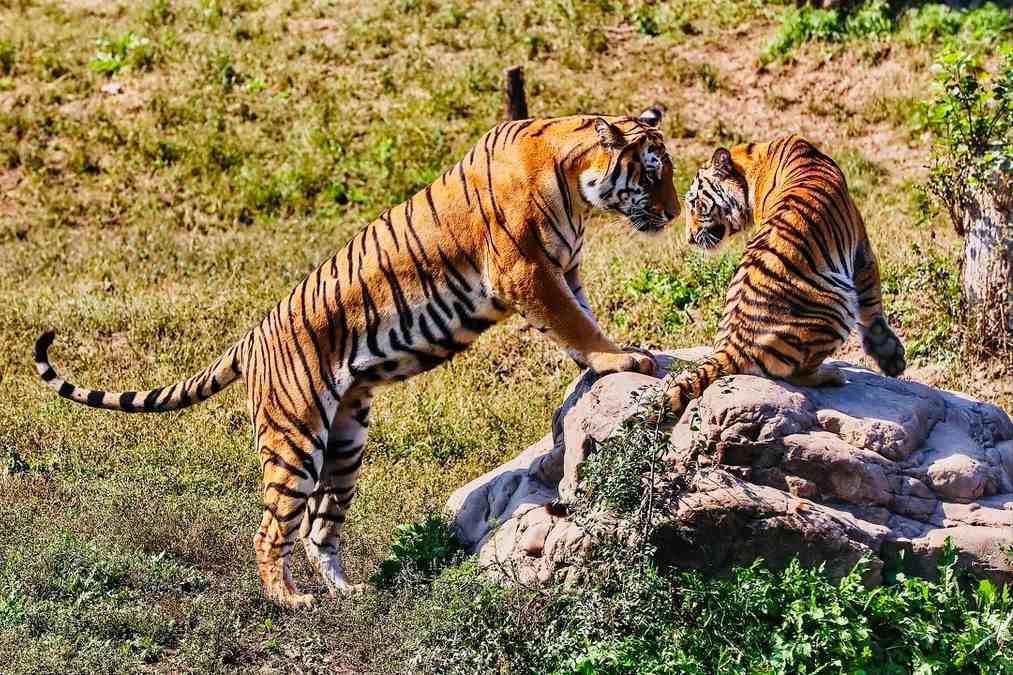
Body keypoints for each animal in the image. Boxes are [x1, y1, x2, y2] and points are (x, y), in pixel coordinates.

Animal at [31, 107, 680, 608]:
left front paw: (615, 356)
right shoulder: (527, 271)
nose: (675, 214)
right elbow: (576, 323)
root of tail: (251, 339)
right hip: (293, 438)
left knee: (320, 527)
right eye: (652, 174)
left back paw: (348, 593)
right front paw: (622, 362)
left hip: (344, 441)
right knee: (271, 527)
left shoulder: (565, 269)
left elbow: (583, 317)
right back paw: (288, 600)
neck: (574, 180)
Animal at [664, 132, 911, 415]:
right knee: (796, 375)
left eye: (695, 204)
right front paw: (891, 358)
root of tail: (732, 345)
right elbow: (872, 305)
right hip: (838, 304)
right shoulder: (861, 247)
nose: (689, 238)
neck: (752, 165)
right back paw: (833, 375)